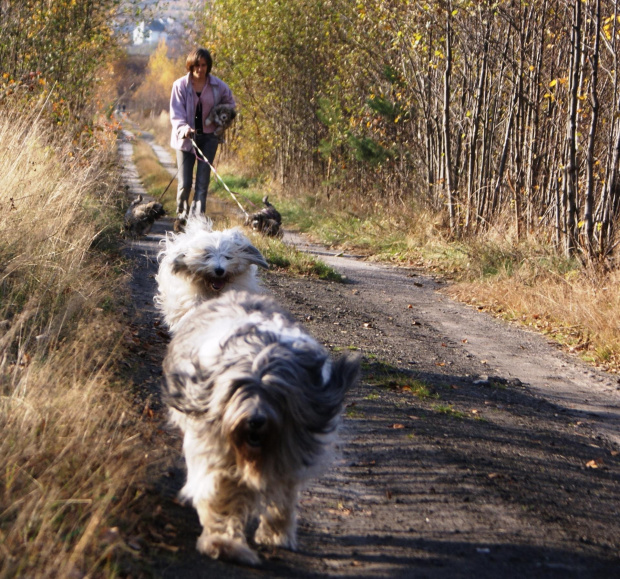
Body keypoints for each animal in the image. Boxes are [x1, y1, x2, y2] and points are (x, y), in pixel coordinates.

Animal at [162, 292, 360, 564]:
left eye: (276, 394)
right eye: (237, 388)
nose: (255, 420)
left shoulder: (288, 453)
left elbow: (283, 495)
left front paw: (277, 534)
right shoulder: (216, 449)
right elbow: (222, 494)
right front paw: (224, 542)